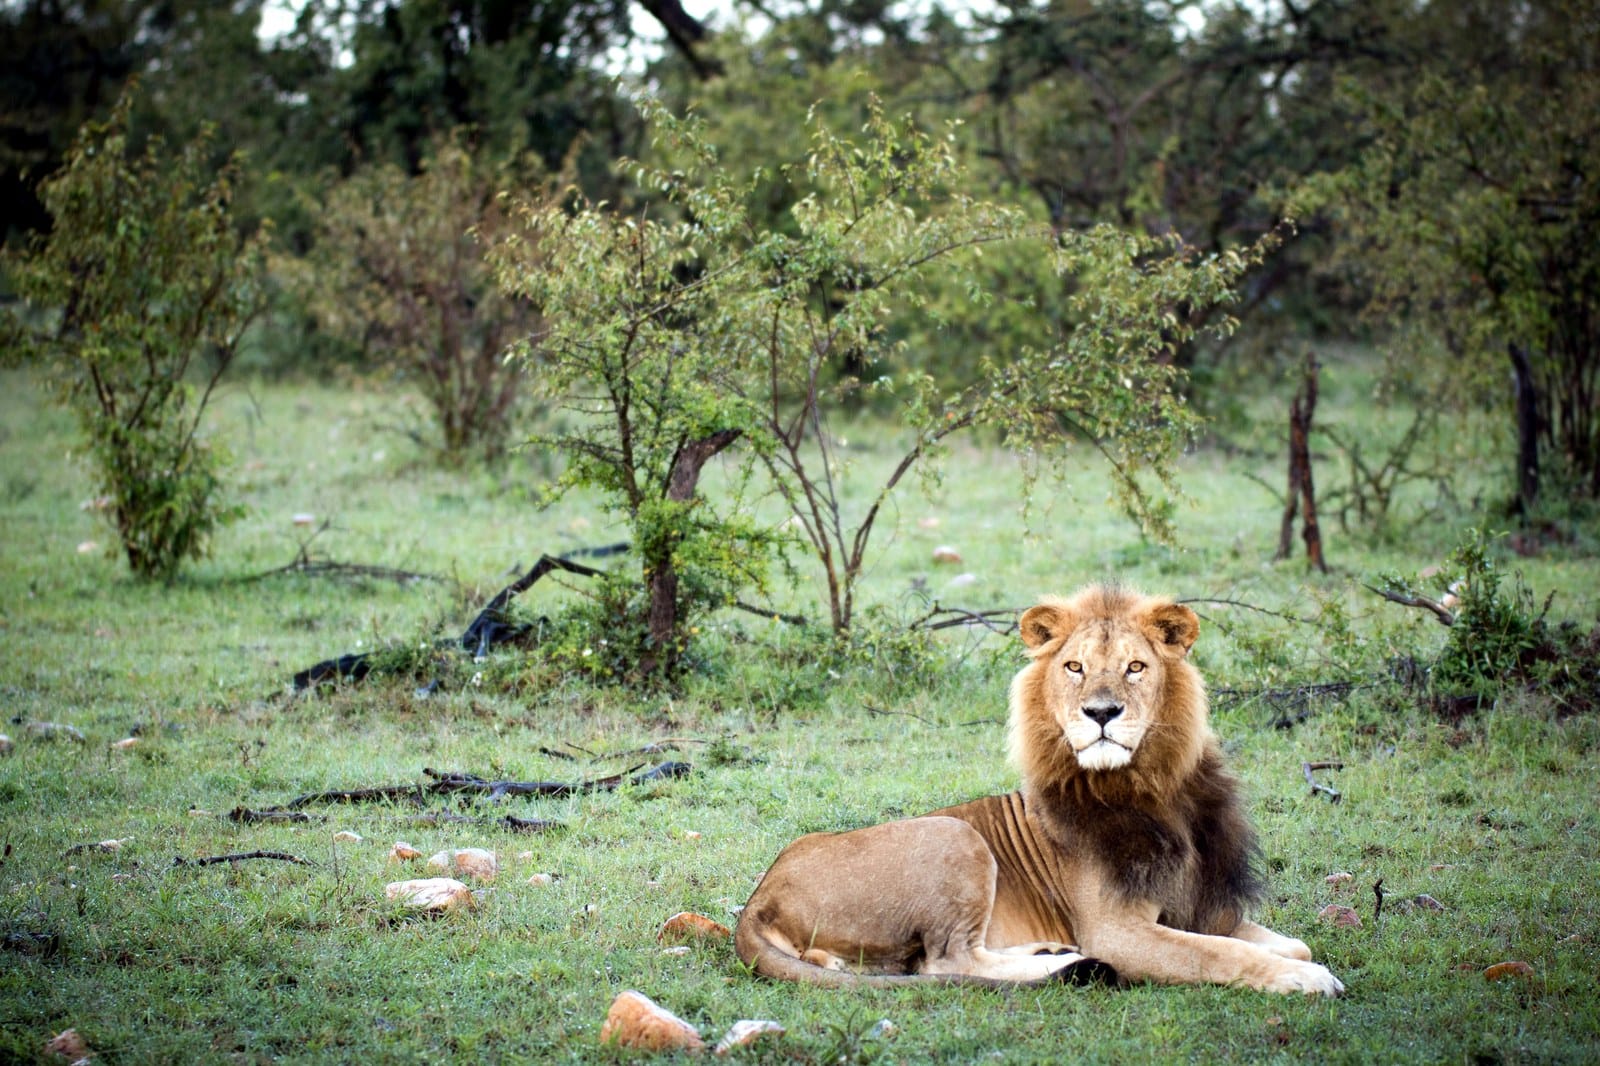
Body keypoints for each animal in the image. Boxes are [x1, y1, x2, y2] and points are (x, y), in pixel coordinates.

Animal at [733, 584, 1344, 995]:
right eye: (1074, 667)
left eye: (1136, 667)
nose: (1101, 712)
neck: (1154, 785)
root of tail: (759, 897)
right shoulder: (1115, 931)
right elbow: (1219, 955)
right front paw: (1304, 978)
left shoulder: (1199, 908)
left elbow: (1286, 940)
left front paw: (1298, 961)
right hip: (955, 836)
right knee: (947, 963)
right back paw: (1064, 964)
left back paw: (1050, 950)